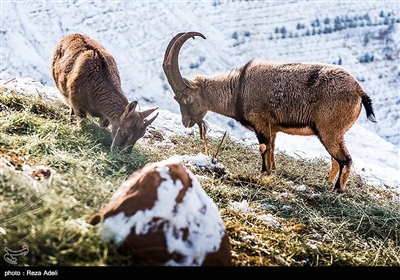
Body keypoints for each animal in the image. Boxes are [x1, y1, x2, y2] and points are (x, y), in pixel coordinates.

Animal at [162, 31, 376, 192]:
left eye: (186, 99)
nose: (186, 122)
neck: (238, 89)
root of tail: (360, 91)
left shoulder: (261, 123)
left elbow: (263, 148)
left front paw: (263, 174)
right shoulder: (272, 127)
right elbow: (272, 150)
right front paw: (271, 171)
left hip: (329, 130)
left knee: (345, 160)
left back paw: (337, 190)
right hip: (332, 133)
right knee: (336, 159)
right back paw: (327, 181)